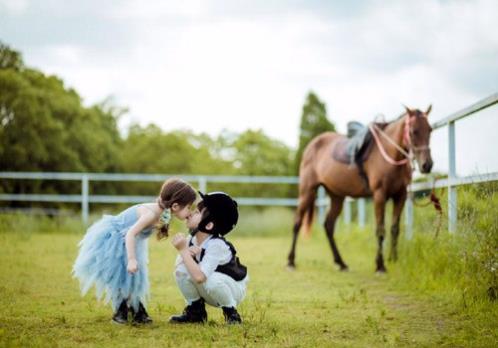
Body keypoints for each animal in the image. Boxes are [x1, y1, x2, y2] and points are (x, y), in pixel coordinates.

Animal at [288, 105, 432, 272]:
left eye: (430, 130)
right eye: (413, 131)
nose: (427, 165)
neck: (389, 156)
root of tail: (312, 145)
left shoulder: (400, 196)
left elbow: (395, 229)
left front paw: (394, 260)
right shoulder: (379, 195)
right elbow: (380, 230)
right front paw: (380, 265)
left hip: (337, 196)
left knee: (328, 225)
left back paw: (341, 263)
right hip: (307, 191)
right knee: (297, 223)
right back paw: (291, 261)